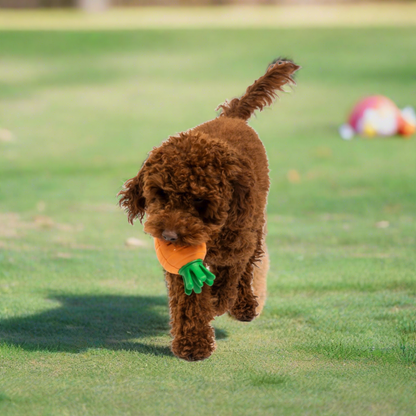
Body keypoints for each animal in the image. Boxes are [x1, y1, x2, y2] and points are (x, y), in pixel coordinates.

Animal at [119, 58, 300, 360]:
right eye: (160, 194)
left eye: (200, 201)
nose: (169, 237)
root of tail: (232, 117)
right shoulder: (180, 265)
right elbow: (188, 300)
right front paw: (193, 345)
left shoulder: (237, 244)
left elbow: (230, 277)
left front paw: (215, 301)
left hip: (254, 226)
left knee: (248, 268)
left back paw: (243, 306)